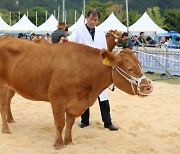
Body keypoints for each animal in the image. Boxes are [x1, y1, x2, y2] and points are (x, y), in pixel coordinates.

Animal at [0, 37, 153, 149]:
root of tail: (5, 38)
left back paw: (10, 120)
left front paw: (69, 142)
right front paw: (58, 145)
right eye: (130, 68)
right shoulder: (57, 99)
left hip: (11, 85)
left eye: (140, 64)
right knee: (3, 105)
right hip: (2, 85)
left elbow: (70, 123)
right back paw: (6, 129)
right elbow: (60, 123)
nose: (148, 87)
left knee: (8, 101)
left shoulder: (75, 103)